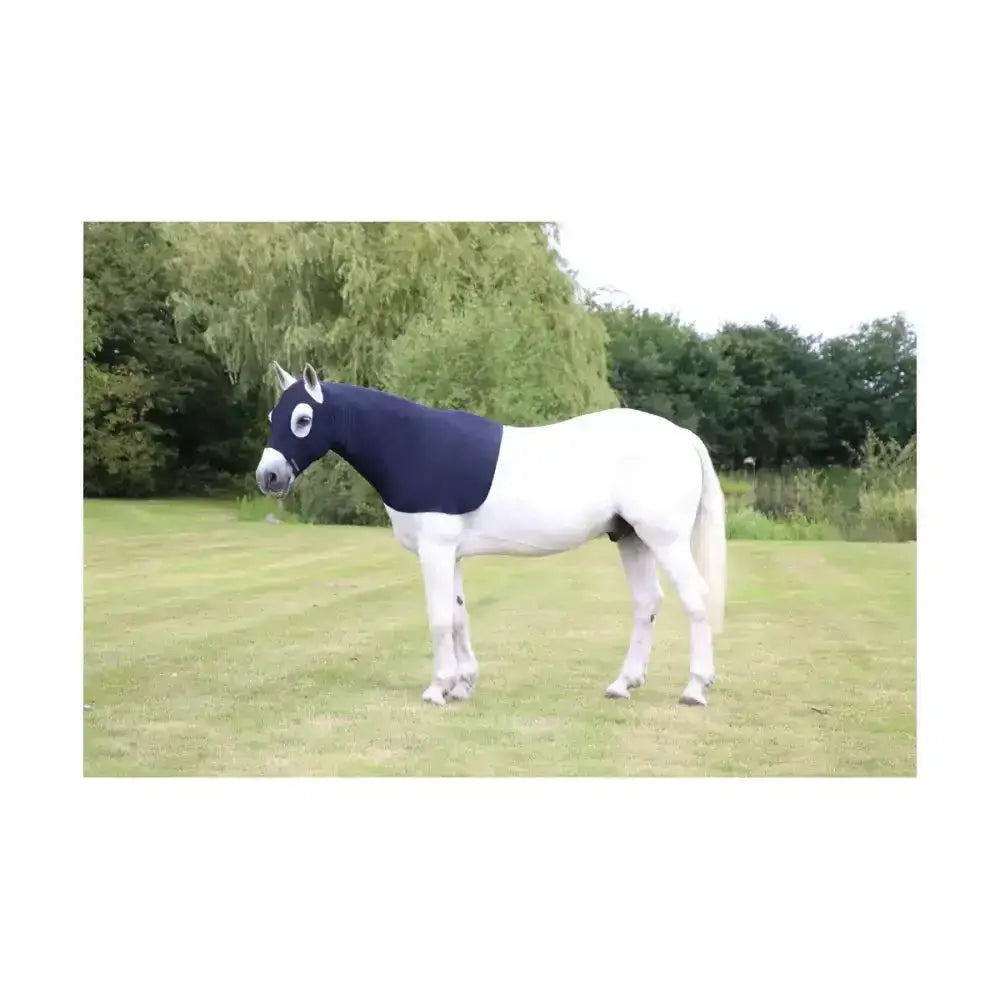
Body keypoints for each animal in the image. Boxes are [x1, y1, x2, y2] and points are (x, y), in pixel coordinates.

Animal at [255, 362, 727, 708]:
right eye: (272, 416)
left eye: (303, 419)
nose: (269, 476)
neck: (413, 447)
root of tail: (682, 437)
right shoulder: (452, 553)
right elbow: (459, 616)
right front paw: (462, 684)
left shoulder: (435, 549)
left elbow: (440, 618)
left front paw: (438, 688)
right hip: (632, 539)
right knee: (647, 604)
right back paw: (622, 684)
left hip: (664, 540)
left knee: (695, 599)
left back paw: (694, 688)